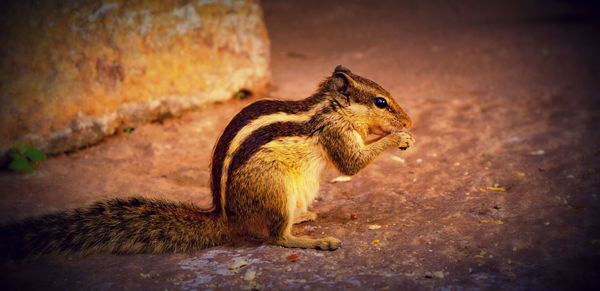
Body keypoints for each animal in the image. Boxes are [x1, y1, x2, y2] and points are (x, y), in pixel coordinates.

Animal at [0, 65, 412, 258]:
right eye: (380, 102)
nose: (408, 120)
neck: (329, 108)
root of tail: (227, 217)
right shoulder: (334, 133)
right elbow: (351, 165)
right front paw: (397, 138)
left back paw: (305, 217)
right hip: (274, 188)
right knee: (275, 237)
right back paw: (311, 240)